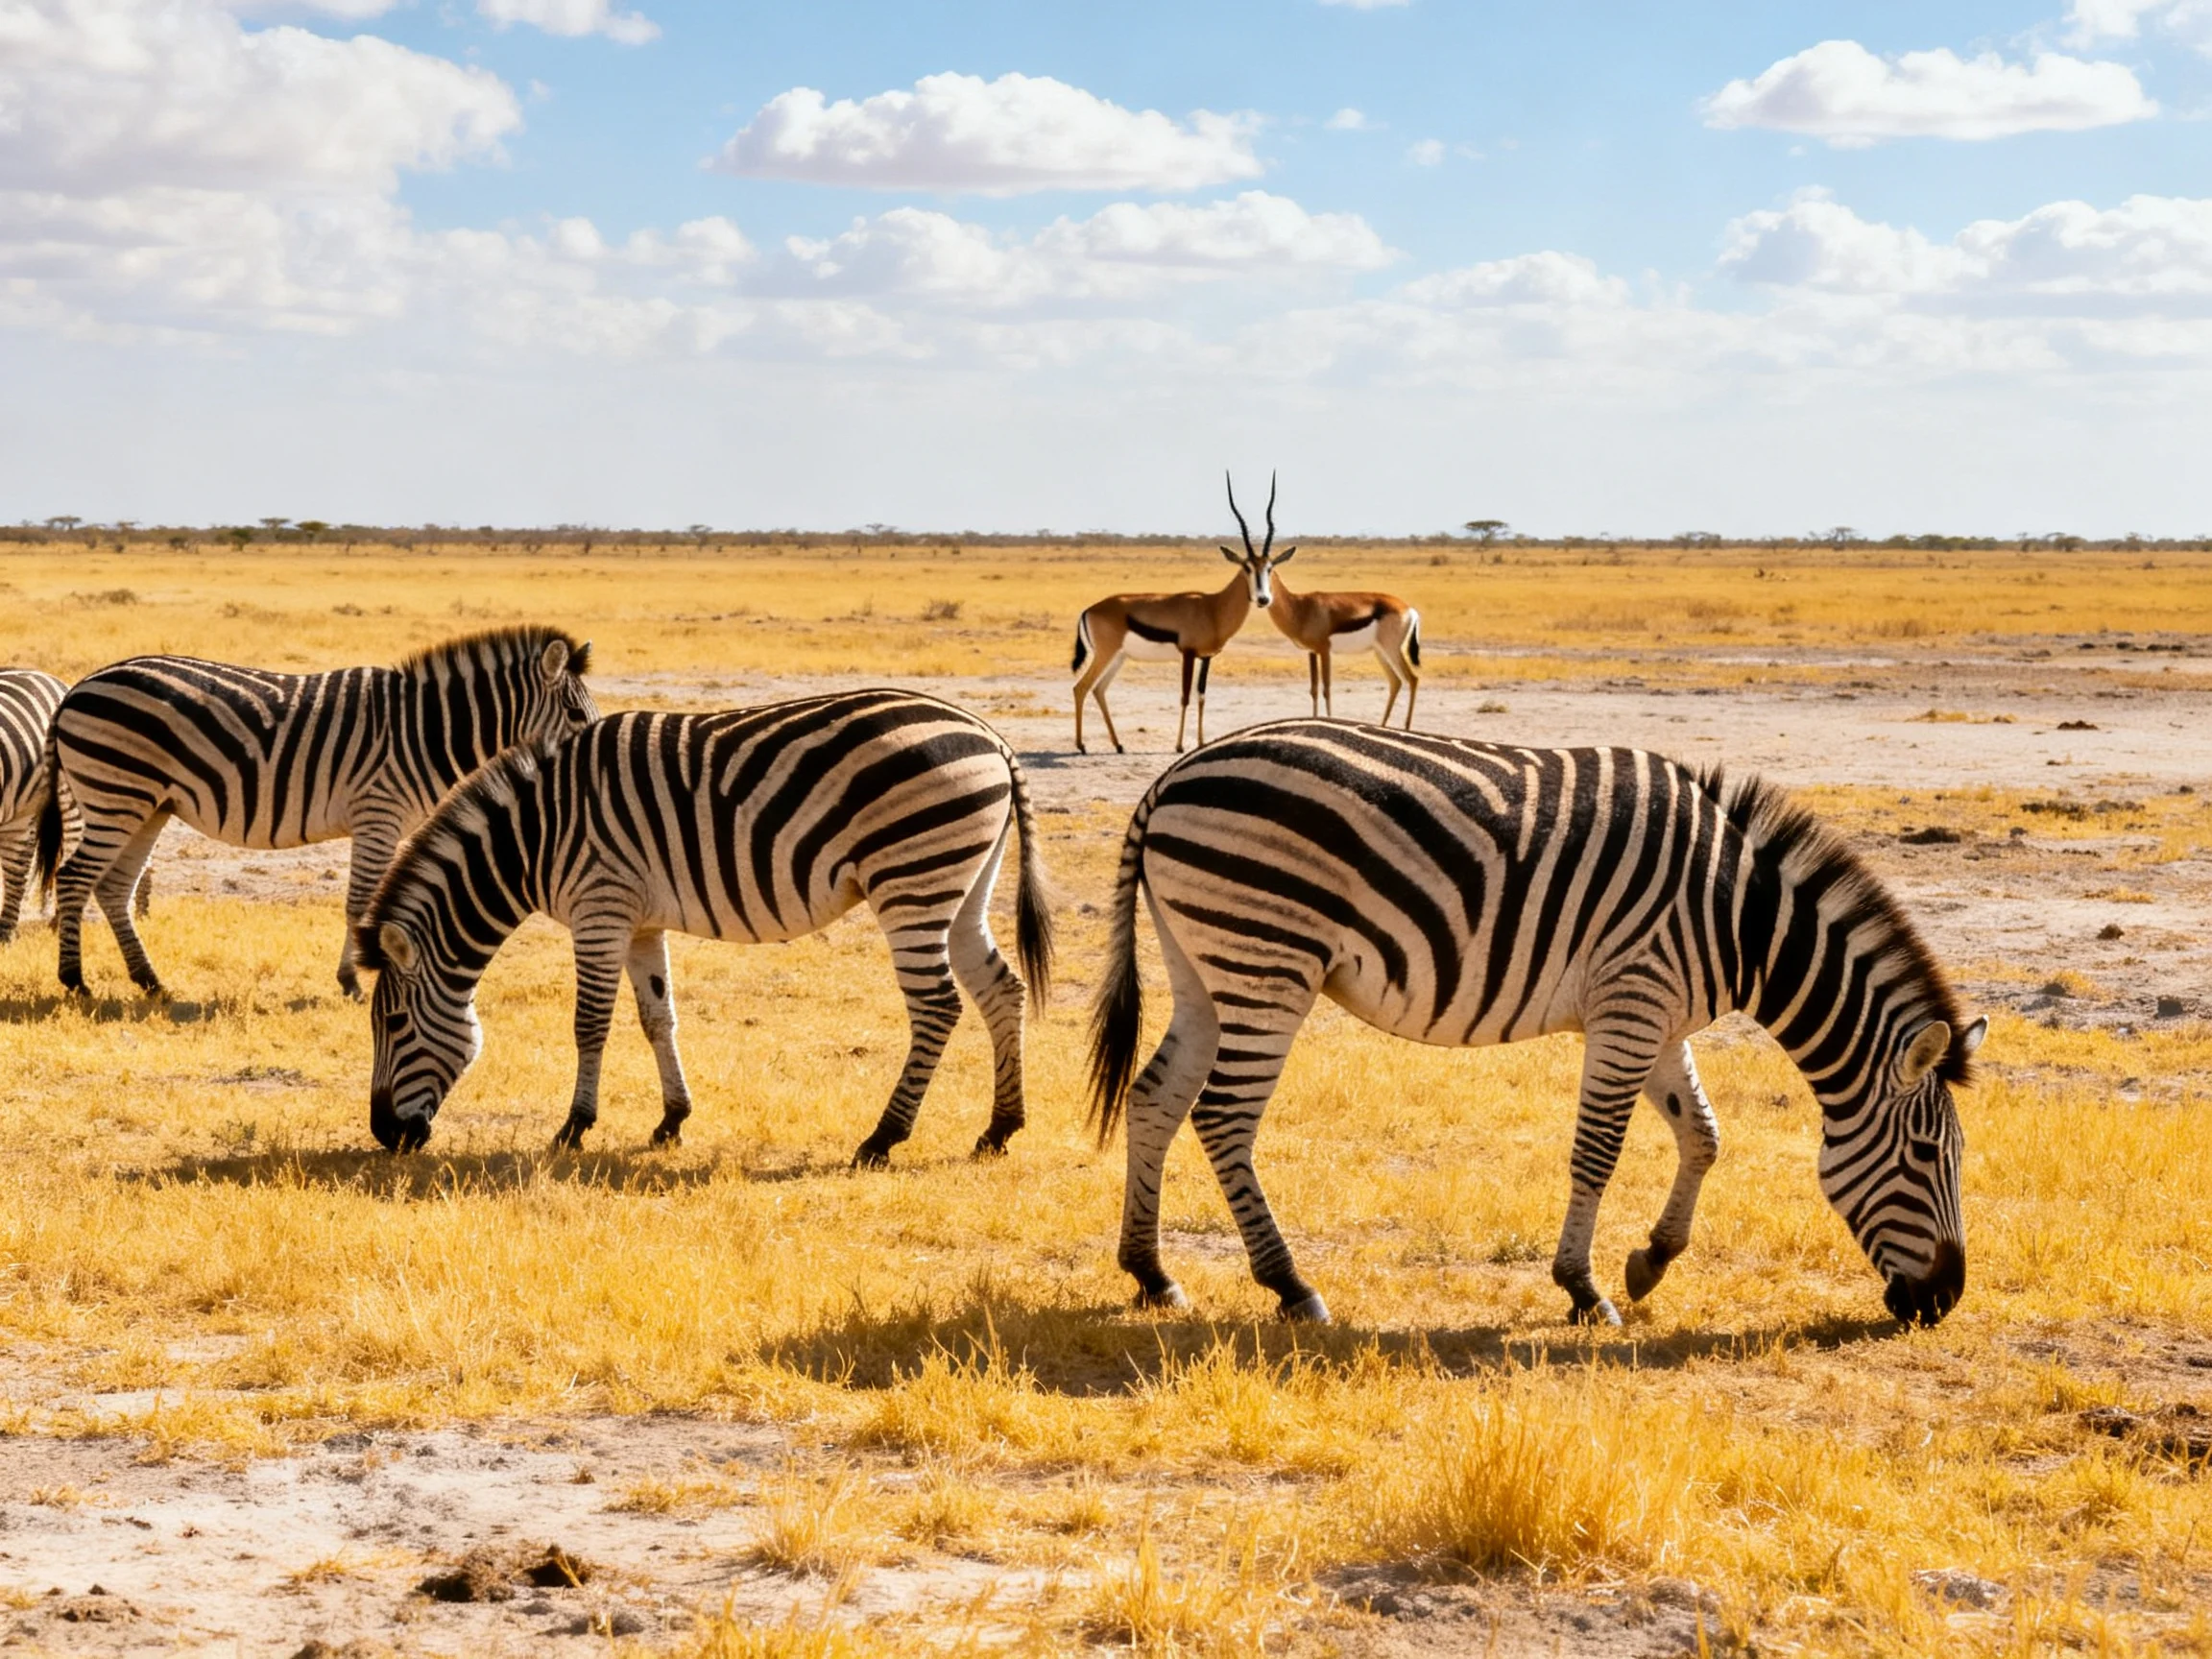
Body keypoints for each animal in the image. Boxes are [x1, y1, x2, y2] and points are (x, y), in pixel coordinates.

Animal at [33, 627, 597, 999]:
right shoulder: (378, 813)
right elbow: (360, 902)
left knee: (113, 888)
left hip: (147, 803)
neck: (425, 730)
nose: (593, 762)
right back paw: (75, 982)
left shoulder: (381, 820)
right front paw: (354, 982)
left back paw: (151, 982)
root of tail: (80, 685)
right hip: (116, 793)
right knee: (75, 877)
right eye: (574, 714)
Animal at [354, 689, 1053, 1163]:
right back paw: (1000, 1128)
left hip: (911, 878)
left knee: (937, 1006)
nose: (386, 1135)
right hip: (961, 884)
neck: (533, 835)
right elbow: (657, 1018)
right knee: (1001, 989)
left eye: (394, 1023)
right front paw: (672, 1120)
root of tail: (992, 737)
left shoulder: (599, 907)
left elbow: (589, 1024)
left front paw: (574, 1127)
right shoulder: (638, 921)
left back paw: (883, 1138)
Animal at [1088, 720, 1986, 1329]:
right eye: (1927, 1155)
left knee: (1156, 1096)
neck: (1745, 919)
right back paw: (1290, 1285)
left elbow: (1703, 1133)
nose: (1944, 1299)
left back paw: (1150, 1273)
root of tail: (1172, 775)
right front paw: (1584, 1291)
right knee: (1222, 1116)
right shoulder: (1633, 1002)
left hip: (1204, 967)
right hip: (1268, 958)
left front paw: (1650, 1262)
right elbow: (1599, 1150)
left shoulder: (1657, 1013)